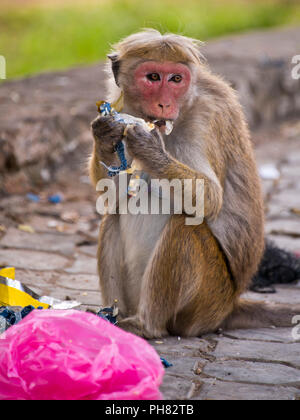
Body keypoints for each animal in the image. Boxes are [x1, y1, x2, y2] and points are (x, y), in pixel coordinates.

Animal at [89, 29, 300, 338]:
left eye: (176, 79)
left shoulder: (206, 118)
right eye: (153, 77)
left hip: (207, 301)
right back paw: (114, 318)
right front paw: (105, 134)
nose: (165, 104)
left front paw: (151, 149)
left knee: (185, 224)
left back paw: (146, 326)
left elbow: (209, 198)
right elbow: (111, 192)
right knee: (114, 213)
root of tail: (229, 306)